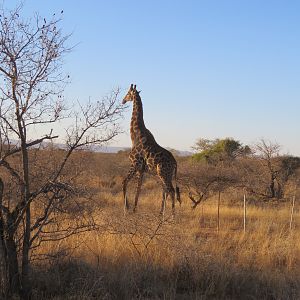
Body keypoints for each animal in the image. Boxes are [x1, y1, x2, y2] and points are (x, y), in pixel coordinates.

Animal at [122, 83, 180, 214]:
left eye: (127, 93)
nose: (122, 101)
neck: (135, 135)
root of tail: (175, 163)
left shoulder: (135, 164)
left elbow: (125, 182)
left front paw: (127, 209)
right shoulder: (141, 169)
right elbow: (138, 189)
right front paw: (133, 209)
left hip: (162, 173)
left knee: (171, 190)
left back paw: (171, 216)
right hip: (166, 175)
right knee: (167, 190)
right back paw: (161, 214)